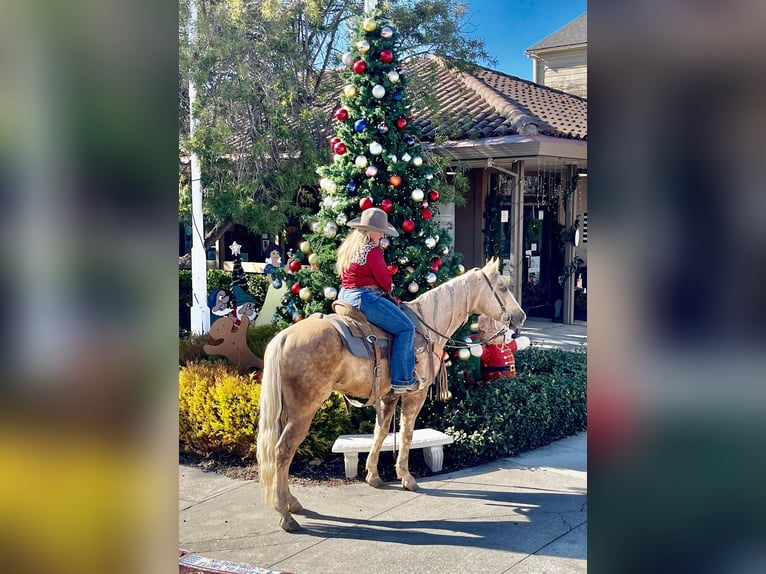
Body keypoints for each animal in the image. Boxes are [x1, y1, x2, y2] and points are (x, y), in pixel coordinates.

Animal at [258, 258, 528, 532]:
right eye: (503, 287)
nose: (521, 316)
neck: (427, 325)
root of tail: (283, 337)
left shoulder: (388, 396)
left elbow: (382, 431)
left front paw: (373, 476)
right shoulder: (415, 395)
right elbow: (406, 433)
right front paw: (406, 478)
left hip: (286, 411)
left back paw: (292, 503)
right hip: (303, 410)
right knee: (282, 451)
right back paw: (286, 515)